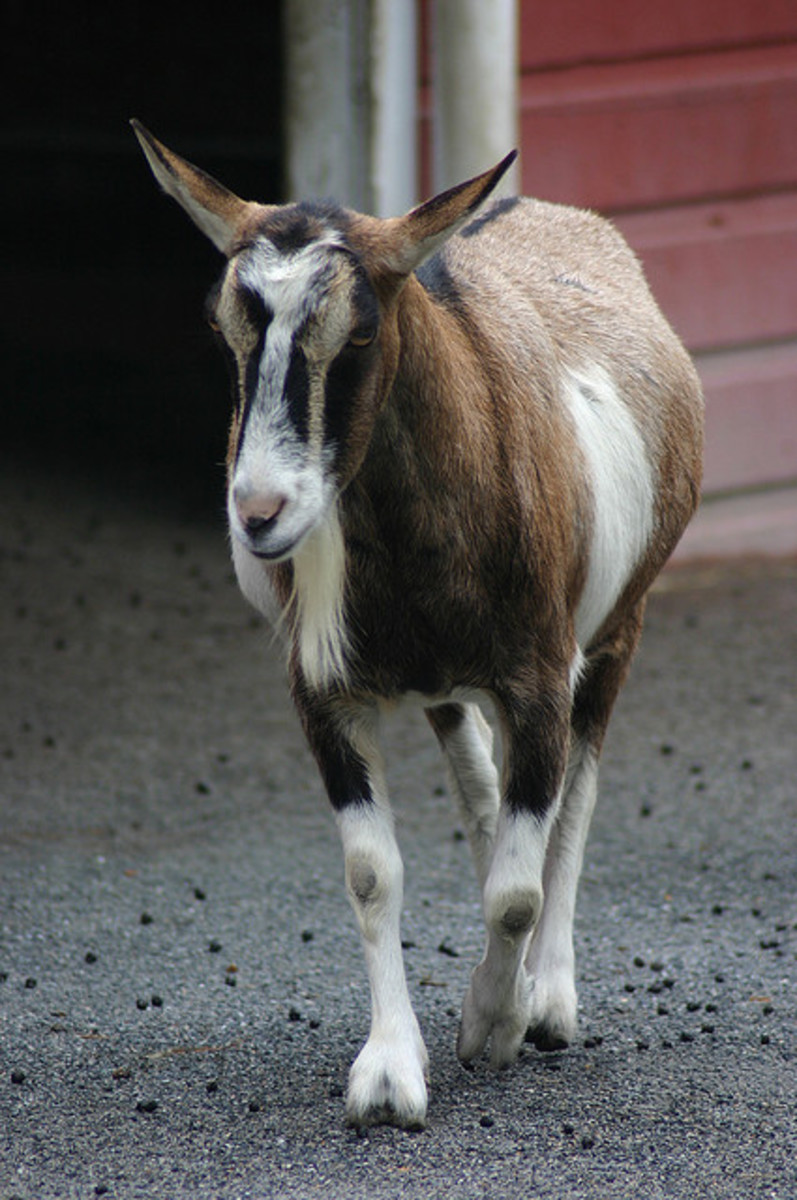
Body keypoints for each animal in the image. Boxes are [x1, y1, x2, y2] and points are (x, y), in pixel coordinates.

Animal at [132, 120, 703, 1128]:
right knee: (480, 779)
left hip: (616, 627)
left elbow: (518, 886)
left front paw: (496, 1022)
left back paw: (549, 997)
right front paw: (390, 1073)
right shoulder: (325, 694)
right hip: (448, 680)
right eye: (223, 327)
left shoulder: (538, 675)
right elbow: (374, 873)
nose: (260, 514)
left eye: (358, 331)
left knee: (574, 801)